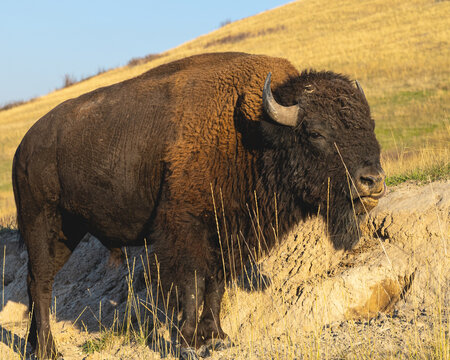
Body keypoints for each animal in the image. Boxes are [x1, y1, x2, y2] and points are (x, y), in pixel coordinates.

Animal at [12, 52, 384, 358]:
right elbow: (193, 283)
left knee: (35, 283)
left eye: (370, 125)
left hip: (68, 232)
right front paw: (190, 342)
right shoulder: (186, 228)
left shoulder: (229, 234)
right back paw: (48, 350)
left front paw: (217, 336)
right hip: (41, 224)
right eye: (315, 133)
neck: (252, 133)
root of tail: (23, 147)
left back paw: (34, 346)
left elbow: (217, 284)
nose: (374, 180)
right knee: (40, 283)